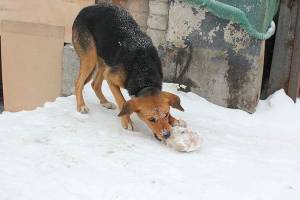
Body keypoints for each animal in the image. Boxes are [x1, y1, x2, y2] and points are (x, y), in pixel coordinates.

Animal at [72, 3, 185, 141]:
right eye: (151, 119)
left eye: (166, 114)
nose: (167, 135)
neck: (144, 71)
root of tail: (88, 7)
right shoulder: (111, 78)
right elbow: (122, 101)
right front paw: (127, 121)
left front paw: (174, 120)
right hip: (90, 56)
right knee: (79, 82)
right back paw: (81, 106)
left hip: (105, 58)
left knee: (95, 84)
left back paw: (105, 102)